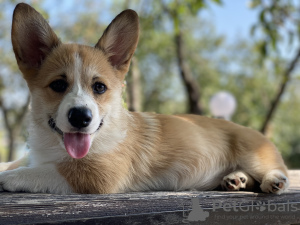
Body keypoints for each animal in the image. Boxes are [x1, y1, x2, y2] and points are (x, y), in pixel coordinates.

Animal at [0, 2, 290, 194]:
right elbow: (19, 162)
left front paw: (6, 178)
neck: (55, 145)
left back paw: (273, 180)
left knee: (275, 168)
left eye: (100, 88)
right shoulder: (36, 156)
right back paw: (236, 179)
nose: (81, 118)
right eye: (58, 85)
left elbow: (36, 171)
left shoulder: (96, 174)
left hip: (253, 154)